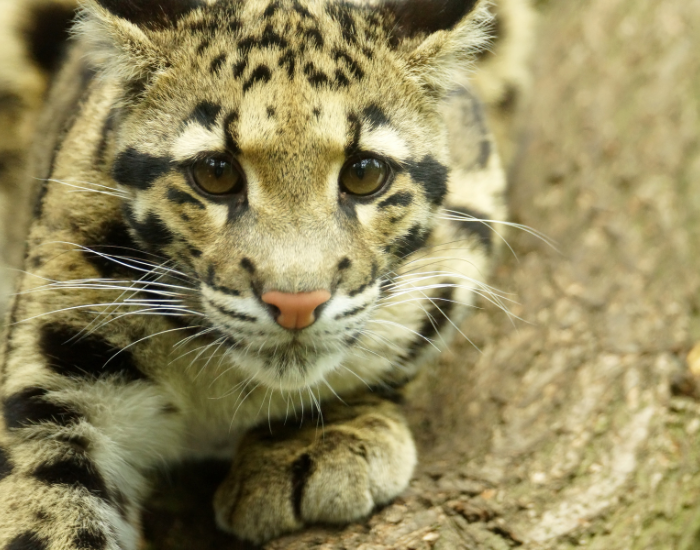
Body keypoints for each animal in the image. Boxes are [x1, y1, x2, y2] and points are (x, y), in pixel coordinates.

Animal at [0, 0, 533, 547]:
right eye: (215, 173)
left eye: (365, 173)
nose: (296, 303)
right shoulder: (57, 384)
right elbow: (42, 507)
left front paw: (312, 441)